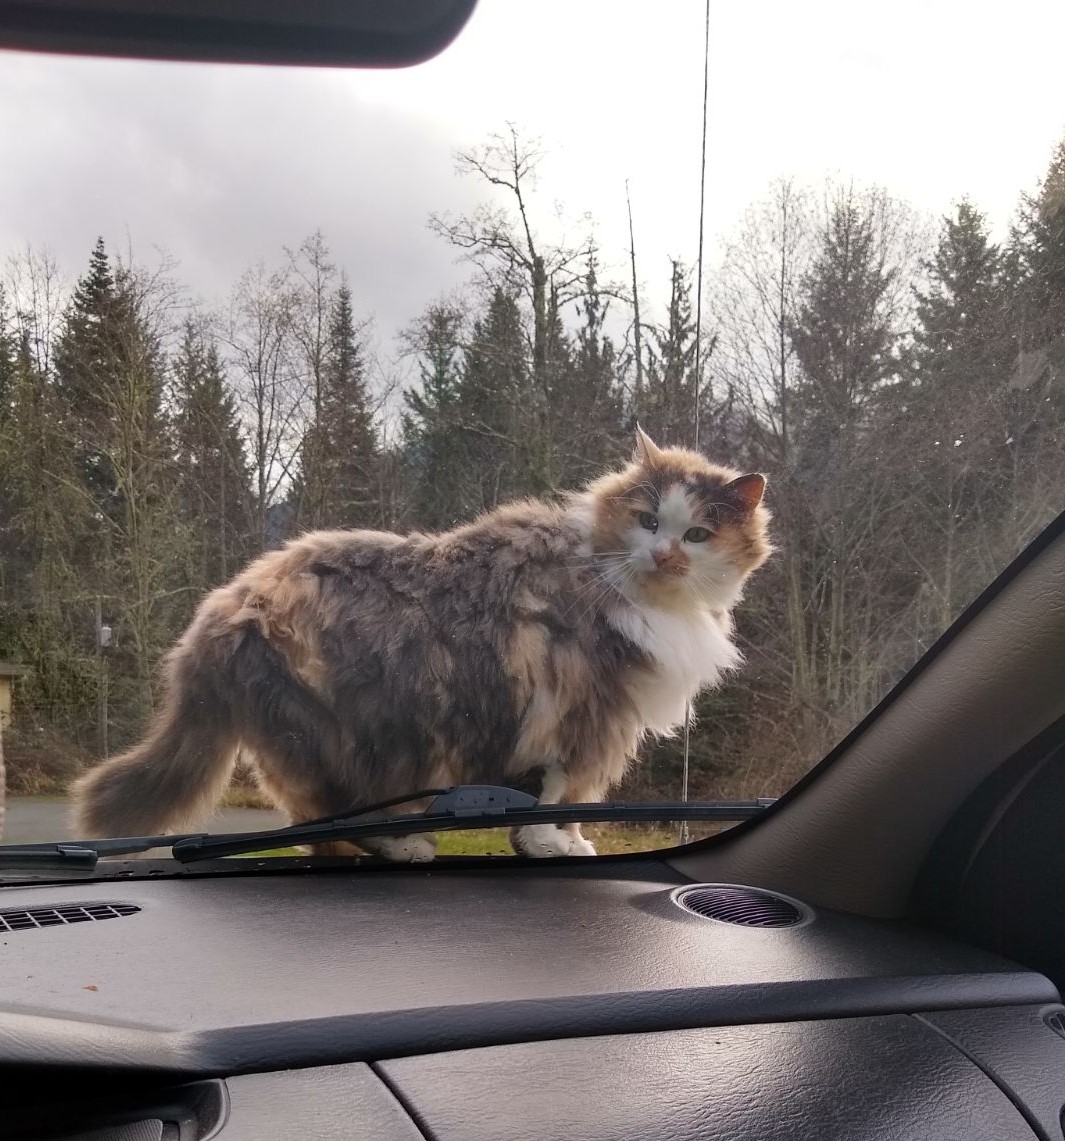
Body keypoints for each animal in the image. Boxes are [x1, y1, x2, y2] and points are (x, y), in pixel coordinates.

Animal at [72, 429, 771, 858]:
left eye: (699, 533)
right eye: (649, 521)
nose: (664, 554)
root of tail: (225, 603)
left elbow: (564, 800)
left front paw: (556, 844)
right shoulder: (588, 717)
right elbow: (566, 797)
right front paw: (556, 844)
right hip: (352, 738)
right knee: (328, 824)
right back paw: (402, 845)